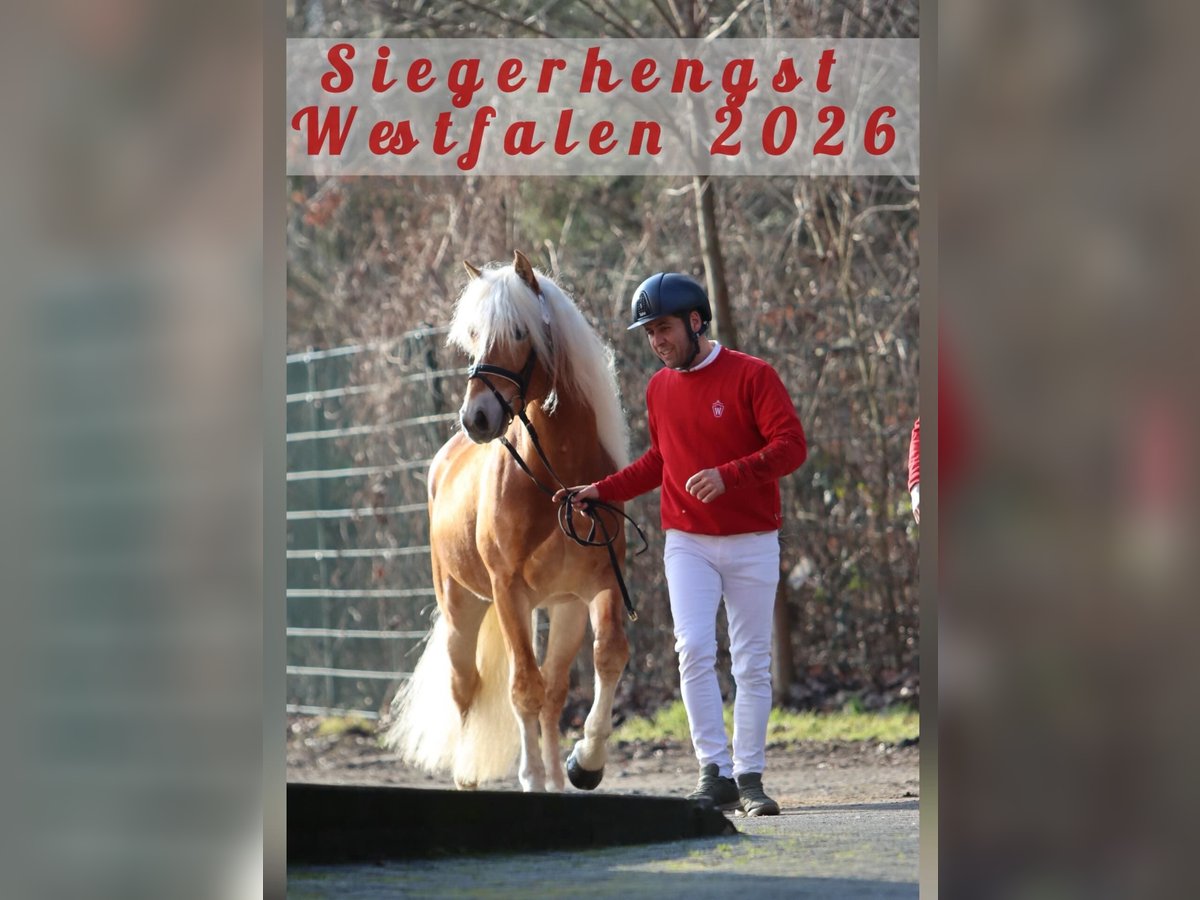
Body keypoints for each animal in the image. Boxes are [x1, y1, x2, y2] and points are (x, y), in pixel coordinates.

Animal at [386, 250, 632, 792]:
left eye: (521, 331)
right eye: (474, 334)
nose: (476, 417)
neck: (558, 477)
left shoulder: (593, 588)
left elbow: (603, 660)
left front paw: (585, 763)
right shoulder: (509, 592)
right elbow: (523, 690)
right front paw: (533, 780)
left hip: (556, 610)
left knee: (552, 690)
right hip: (463, 609)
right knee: (467, 689)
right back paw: (468, 775)